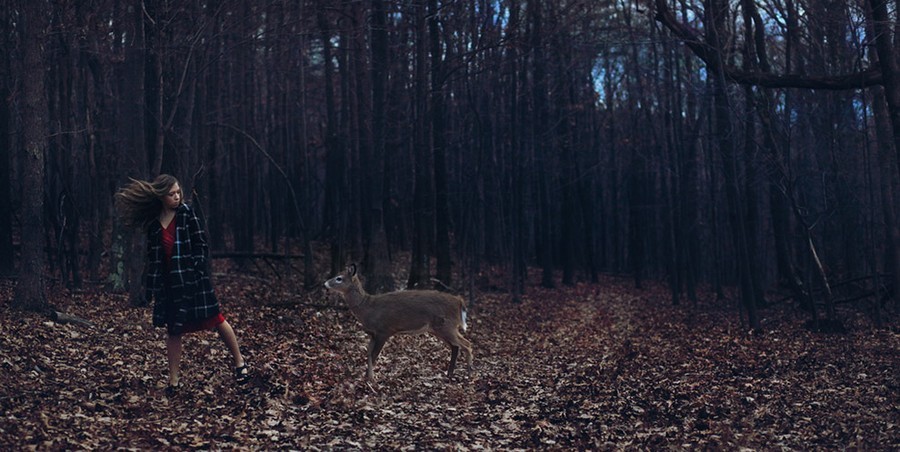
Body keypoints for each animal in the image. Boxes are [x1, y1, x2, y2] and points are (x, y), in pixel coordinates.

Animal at [326, 264, 478, 380]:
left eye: (339, 278)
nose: (325, 283)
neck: (367, 308)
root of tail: (459, 301)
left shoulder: (384, 330)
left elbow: (374, 355)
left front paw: (370, 379)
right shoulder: (373, 333)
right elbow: (368, 354)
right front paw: (366, 377)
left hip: (447, 326)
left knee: (467, 344)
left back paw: (470, 374)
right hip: (437, 328)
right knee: (456, 346)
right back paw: (449, 374)